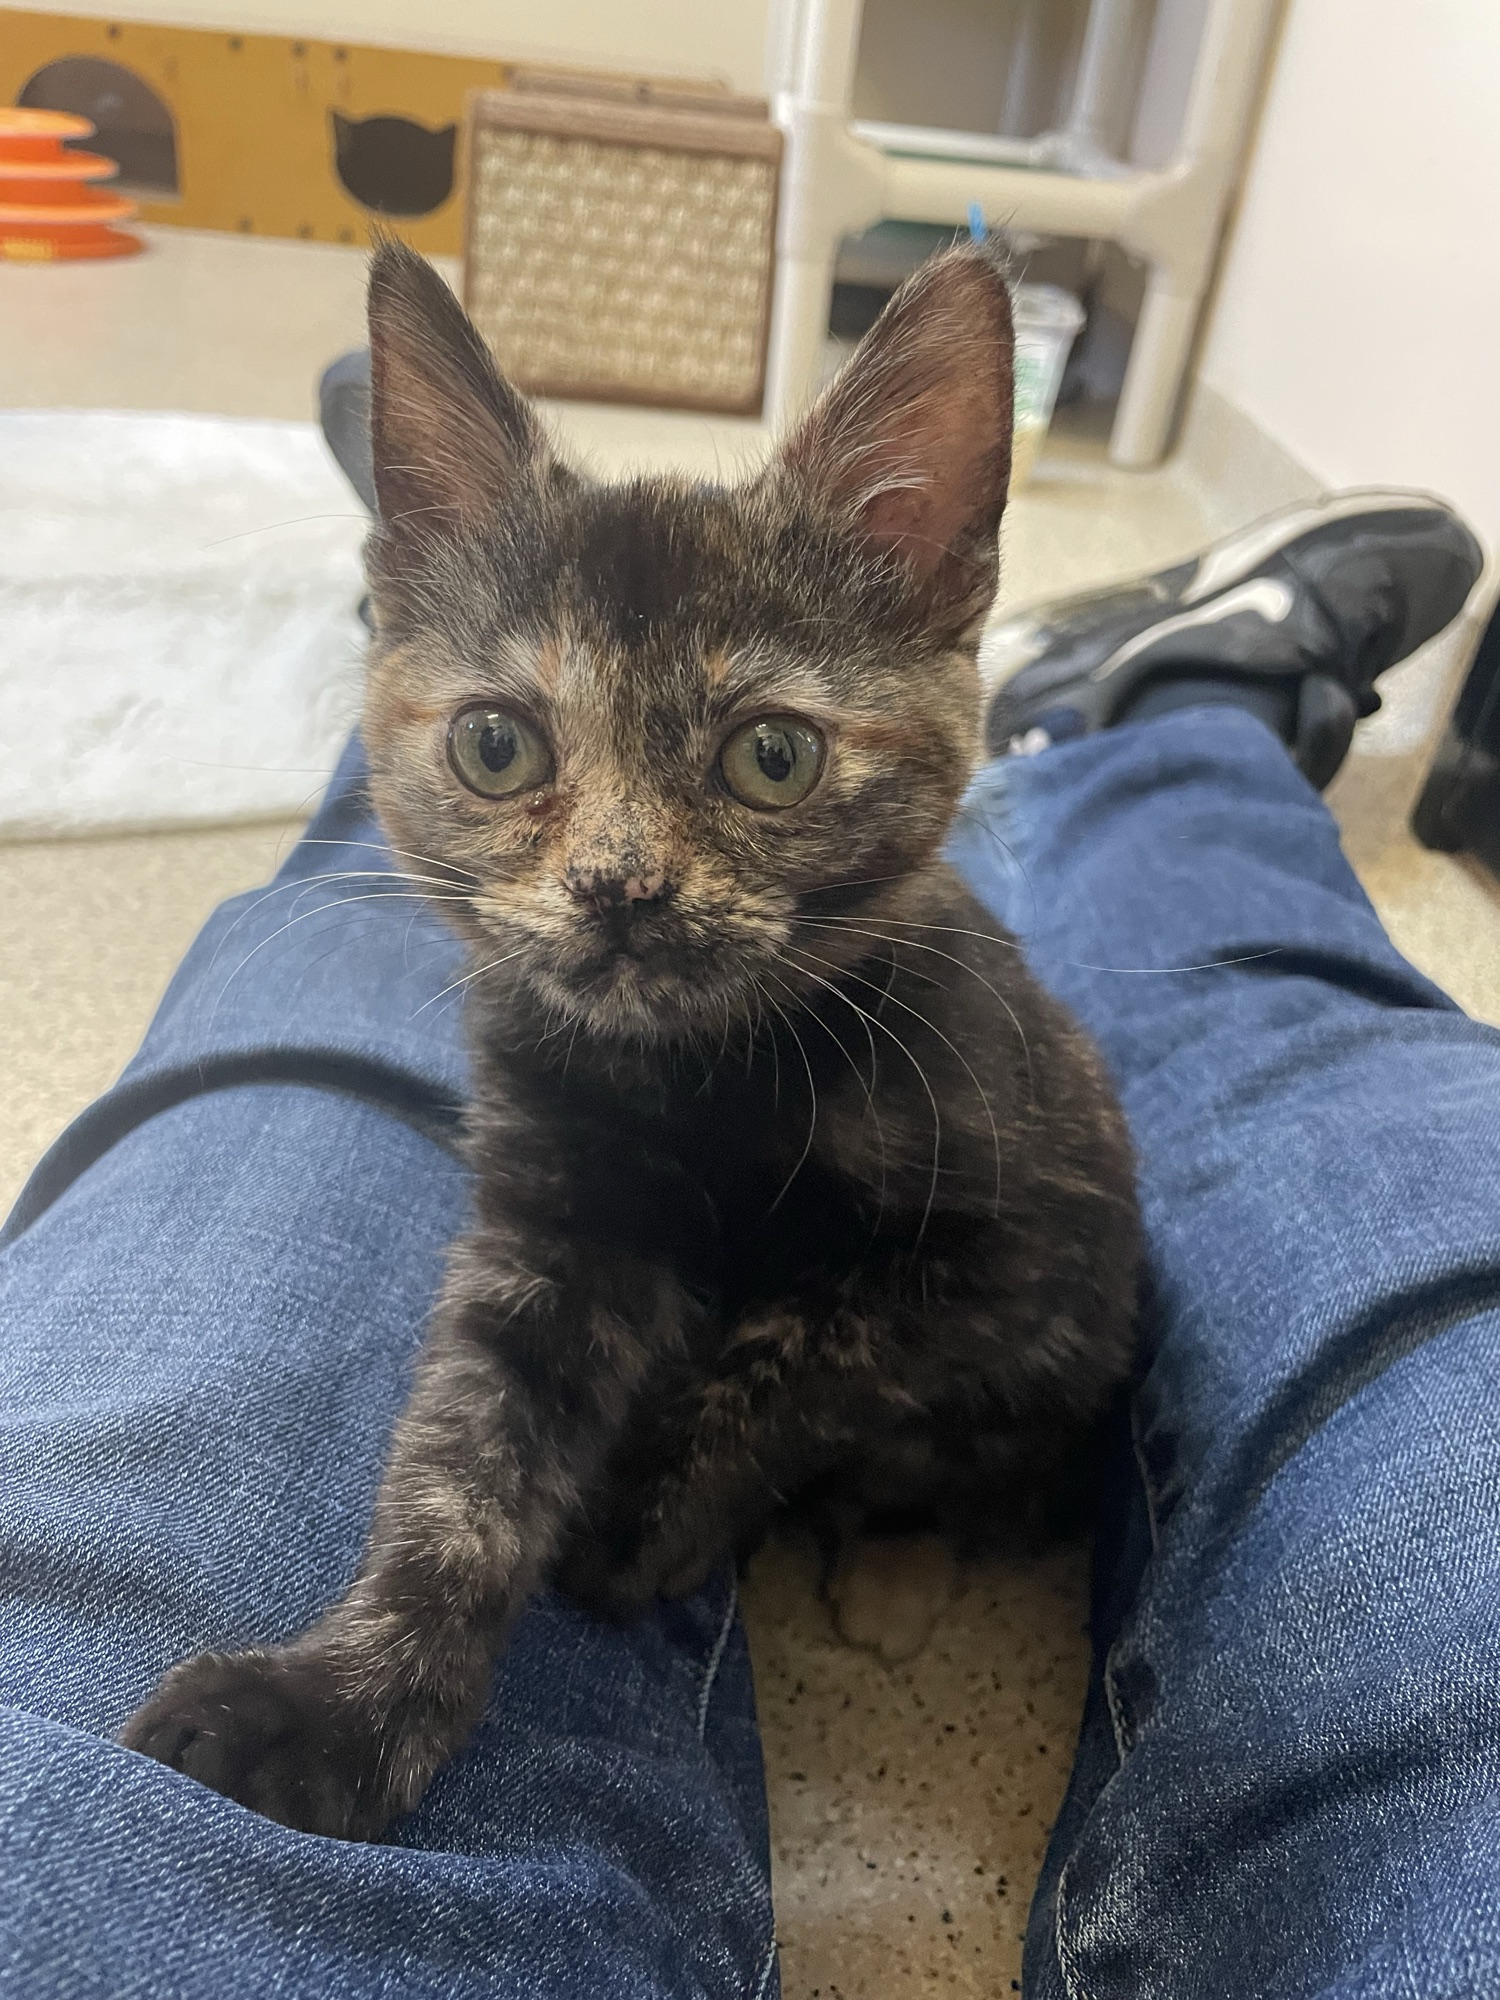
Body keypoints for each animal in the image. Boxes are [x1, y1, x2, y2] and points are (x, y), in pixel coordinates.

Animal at [120, 238, 1140, 1839]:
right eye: (496, 745)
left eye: (773, 756)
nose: (619, 884)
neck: (696, 1074)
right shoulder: (547, 1225)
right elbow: (461, 1466)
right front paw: (343, 1703)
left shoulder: (1016, 1252)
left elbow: (807, 1340)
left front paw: (640, 1521)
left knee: (967, 1482)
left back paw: (895, 1569)